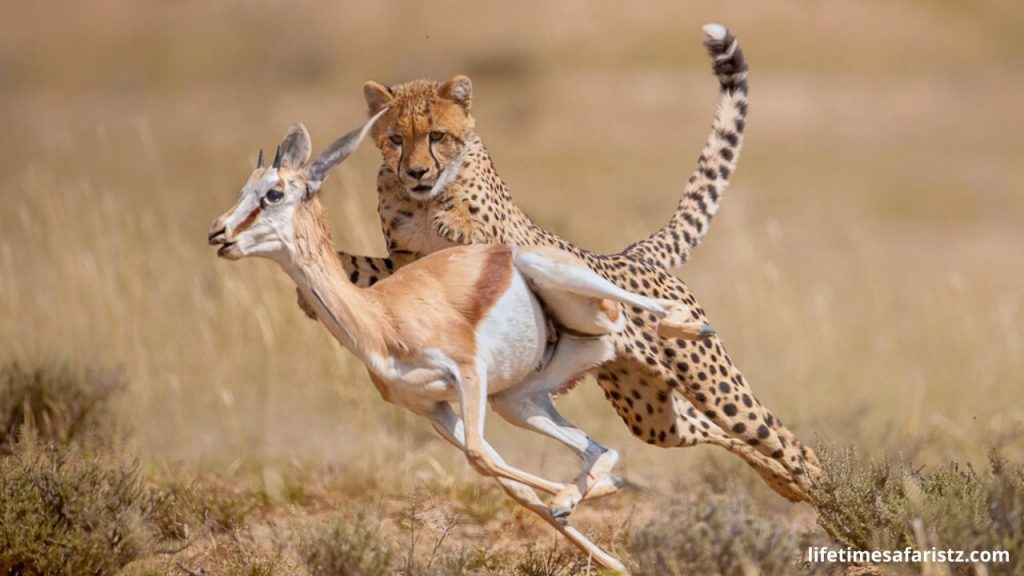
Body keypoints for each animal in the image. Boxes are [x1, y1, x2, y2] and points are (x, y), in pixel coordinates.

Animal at [302, 24, 821, 502]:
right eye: (394, 138)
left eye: (437, 136)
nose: (416, 171)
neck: (426, 199)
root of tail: (630, 254)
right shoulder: (404, 264)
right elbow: (366, 271)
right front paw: (314, 278)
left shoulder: (503, 244)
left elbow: (479, 239)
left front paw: (454, 224)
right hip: (649, 411)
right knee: (710, 430)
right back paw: (785, 484)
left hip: (711, 382)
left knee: (780, 437)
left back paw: (822, 492)